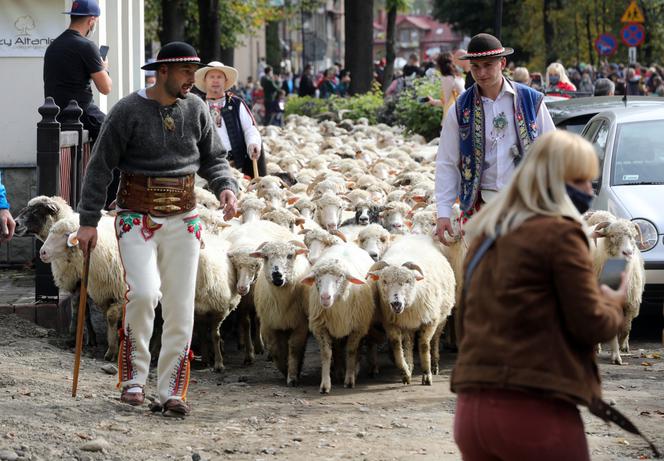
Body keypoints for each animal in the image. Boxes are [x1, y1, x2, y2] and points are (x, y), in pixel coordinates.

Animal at [249, 237, 312, 384]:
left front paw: (292, 376)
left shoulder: (300, 325)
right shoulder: (269, 325)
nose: (277, 275)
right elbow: (276, 349)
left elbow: (295, 348)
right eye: (265, 257)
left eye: (290, 255)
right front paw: (284, 370)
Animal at [302, 243, 378, 394]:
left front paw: (349, 380)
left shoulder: (357, 327)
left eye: (341, 276)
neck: (337, 307)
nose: (325, 297)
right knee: (336, 349)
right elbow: (326, 353)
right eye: (317, 276)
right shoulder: (321, 327)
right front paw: (325, 385)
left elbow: (351, 351)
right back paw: (338, 372)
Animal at [368, 235, 456, 382]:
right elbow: (397, 346)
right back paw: (409, 365)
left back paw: (435, 364)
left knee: (435, 340)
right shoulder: (391, 323)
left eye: (408, 281)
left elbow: (424, 345)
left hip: (442, 317)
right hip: (409, 324)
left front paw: (427, 374)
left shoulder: (430, 320)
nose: (396, 303)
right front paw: (405, 371)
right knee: (408, 343)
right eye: (384, 281)